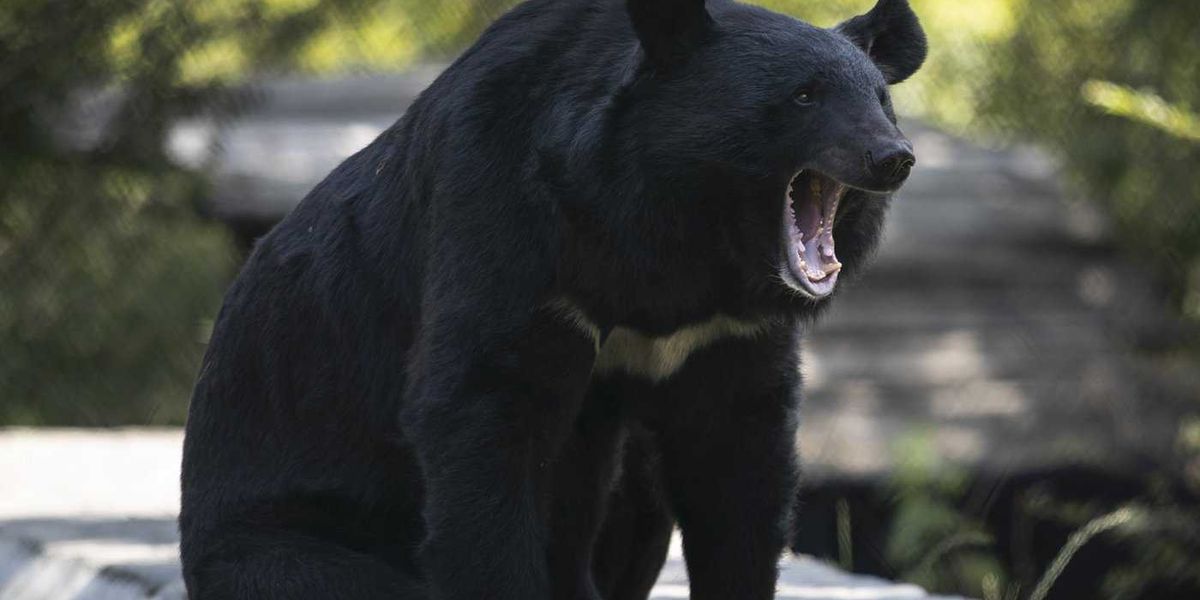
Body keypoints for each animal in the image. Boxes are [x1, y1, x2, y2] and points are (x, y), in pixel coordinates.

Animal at [178, 0, 926, 598]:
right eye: (804, 96)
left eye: (881, 101)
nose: (893, 158)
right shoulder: (507, 221)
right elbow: (481, 413)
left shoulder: (726, 331)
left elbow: (738, 463)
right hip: (278, 532)